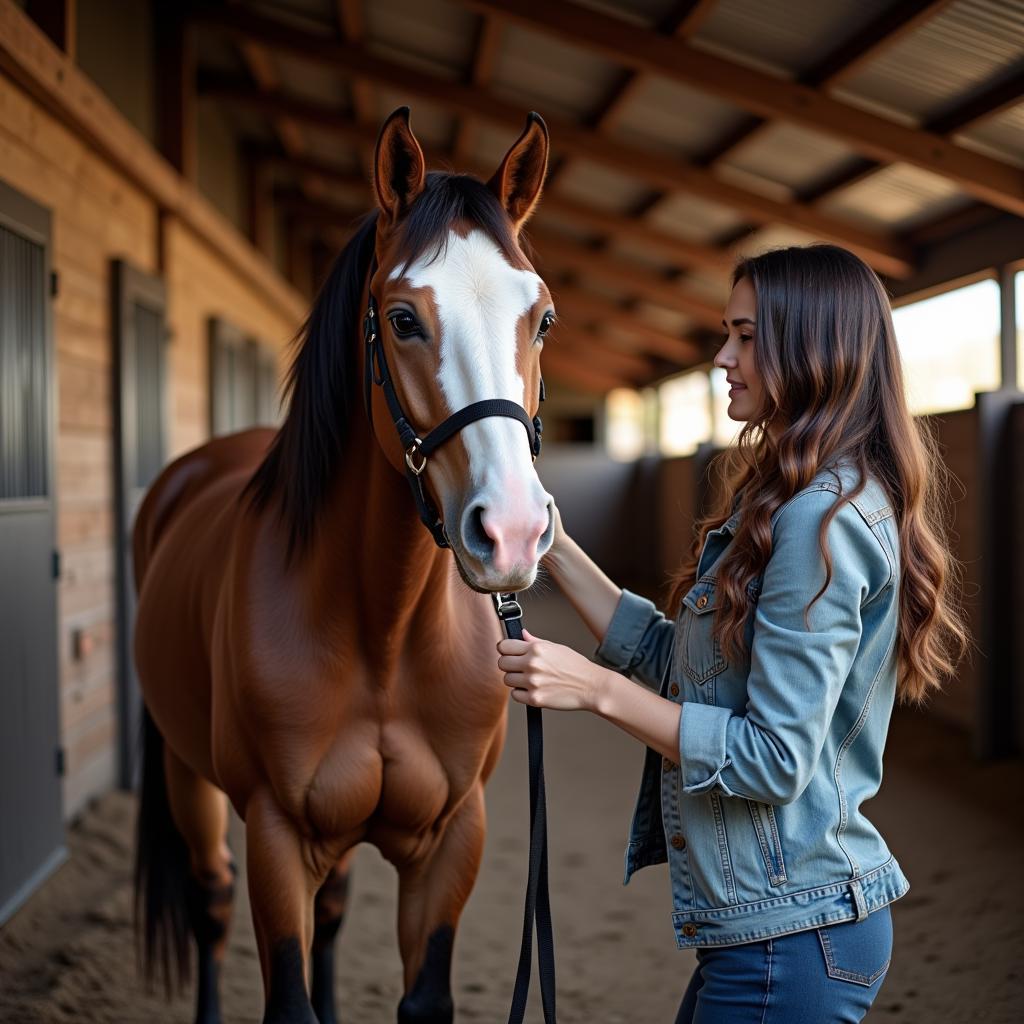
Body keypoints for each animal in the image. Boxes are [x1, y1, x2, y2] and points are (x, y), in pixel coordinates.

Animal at [134, 105, 561, 1024]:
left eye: (542, 319)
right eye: (401, 318)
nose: (511, 531)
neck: (384, 633)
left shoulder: (451, 838)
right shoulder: (276, 835)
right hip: (189, 779)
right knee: (209, 903)